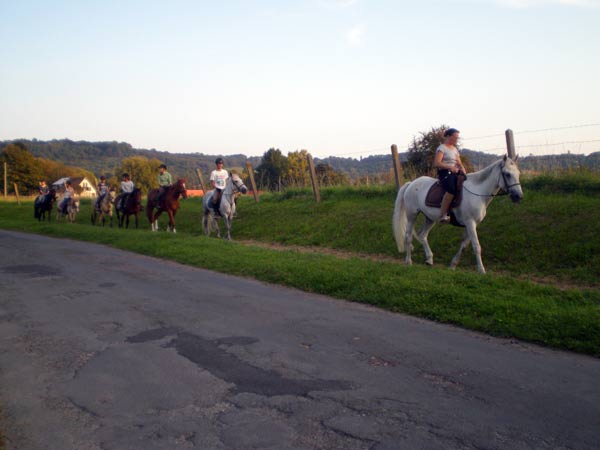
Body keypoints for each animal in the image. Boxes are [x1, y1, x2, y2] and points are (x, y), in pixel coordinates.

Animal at [392, 155, 524, 274]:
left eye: (518, 173)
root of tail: (411, 184)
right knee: (408, 236)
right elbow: (476, 246)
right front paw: (481, 270)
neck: (478, 192)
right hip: (412, 215)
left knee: (422, 235)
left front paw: (453, 265)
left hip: (430, 218)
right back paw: (408, 261)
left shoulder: (471, 224)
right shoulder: (470, 223)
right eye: (507, 174)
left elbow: (464, 246)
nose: (519, 196)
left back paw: (429, 259)